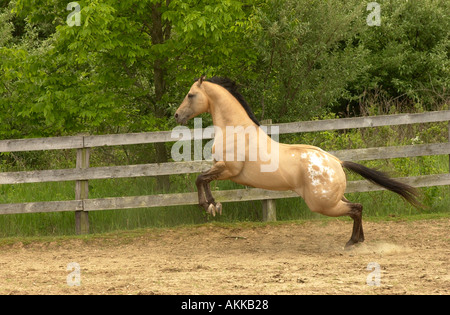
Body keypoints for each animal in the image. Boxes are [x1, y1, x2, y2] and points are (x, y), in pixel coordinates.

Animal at [173, 76, 422, 249]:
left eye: (191, 95)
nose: (176, 115)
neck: (236, 131)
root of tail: (337, 162)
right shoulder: (221, 169)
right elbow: (204, 180)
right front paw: (214, 205)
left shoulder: (228, 169)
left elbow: (200, 179)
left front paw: (209, 205)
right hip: (333, 198)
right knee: (356, 208)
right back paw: (357, 241)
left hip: (322, 204)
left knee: (356, 208)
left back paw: (352, 242)